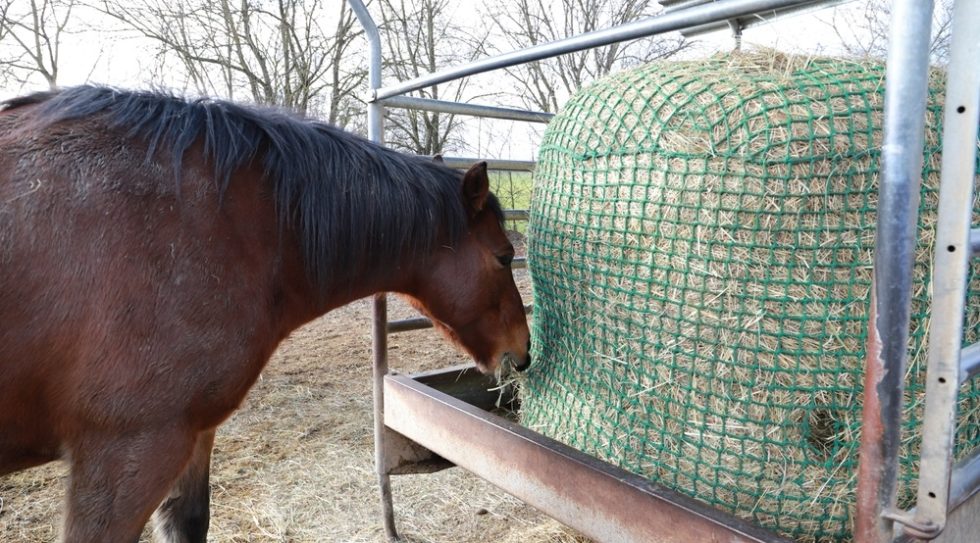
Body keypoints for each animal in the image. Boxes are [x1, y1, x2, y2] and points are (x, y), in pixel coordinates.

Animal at [0, 85, 530, 542]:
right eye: (505, 256)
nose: (523, 352)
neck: (222, 226)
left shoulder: (193, 431)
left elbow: (190, 523)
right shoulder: (127, 449)